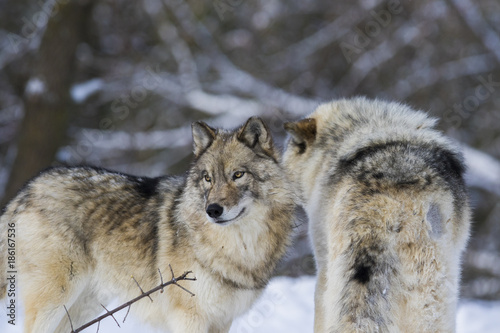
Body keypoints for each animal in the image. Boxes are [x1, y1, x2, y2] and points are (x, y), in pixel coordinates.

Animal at [0, 115, 296, 330]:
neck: (239, 248)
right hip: (55, 299)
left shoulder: (222, 320)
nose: (212, 210)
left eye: (238, 175)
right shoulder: (189, 316)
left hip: (83, 307)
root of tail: (27, 189)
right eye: (208, 179)